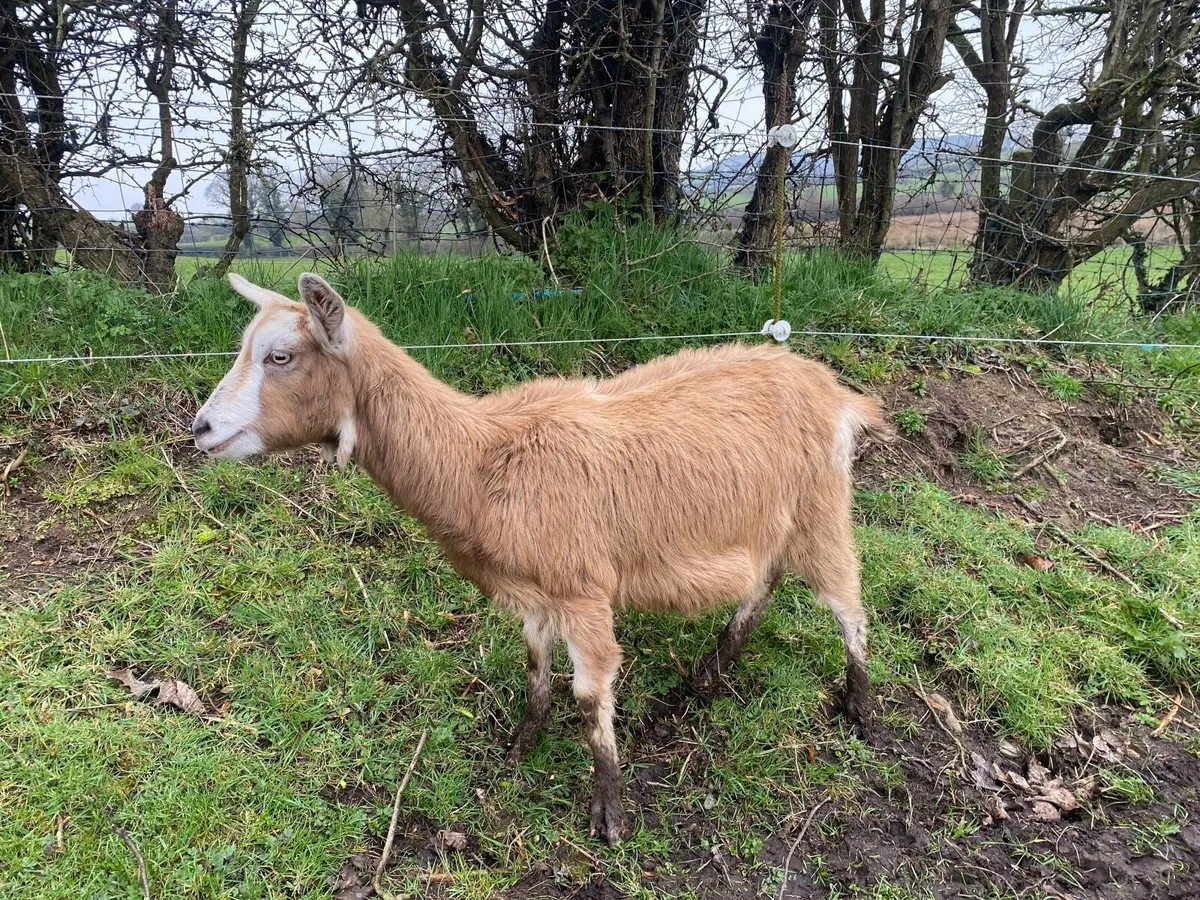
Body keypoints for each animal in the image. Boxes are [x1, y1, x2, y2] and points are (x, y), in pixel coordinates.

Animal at [192, 272, 888, 844]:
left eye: (281, 356)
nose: (201, 429)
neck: (482, 459)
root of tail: (835, 392)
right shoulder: (532, 591)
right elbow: (534, 669)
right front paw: (520, 747)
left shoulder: (583, 591)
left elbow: (590, 692)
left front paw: (609, 814)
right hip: (771, 522)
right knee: (762, 583)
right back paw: (706, 677)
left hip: (821, 506)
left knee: (848, 603)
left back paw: (860, 707)